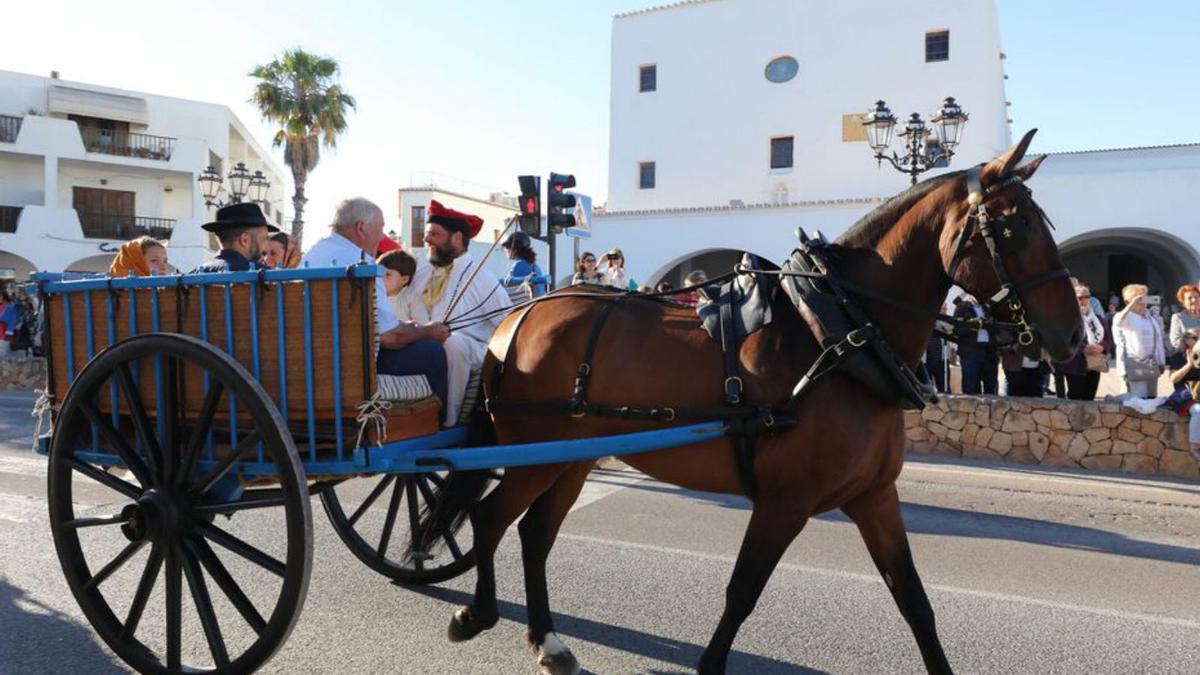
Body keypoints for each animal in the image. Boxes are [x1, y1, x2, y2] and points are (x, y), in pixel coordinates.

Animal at [417, 128, 1084, 667]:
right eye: (1016, 226)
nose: (1073, 337)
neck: (839, 334)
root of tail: (521, 315)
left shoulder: (873, 496)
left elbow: (914, 602)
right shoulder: (784, 501)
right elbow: (742, 594)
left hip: (571, 458)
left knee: (533, 533)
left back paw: (547, 639)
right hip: (536, 452)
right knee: (491, 518)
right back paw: (477, 613)